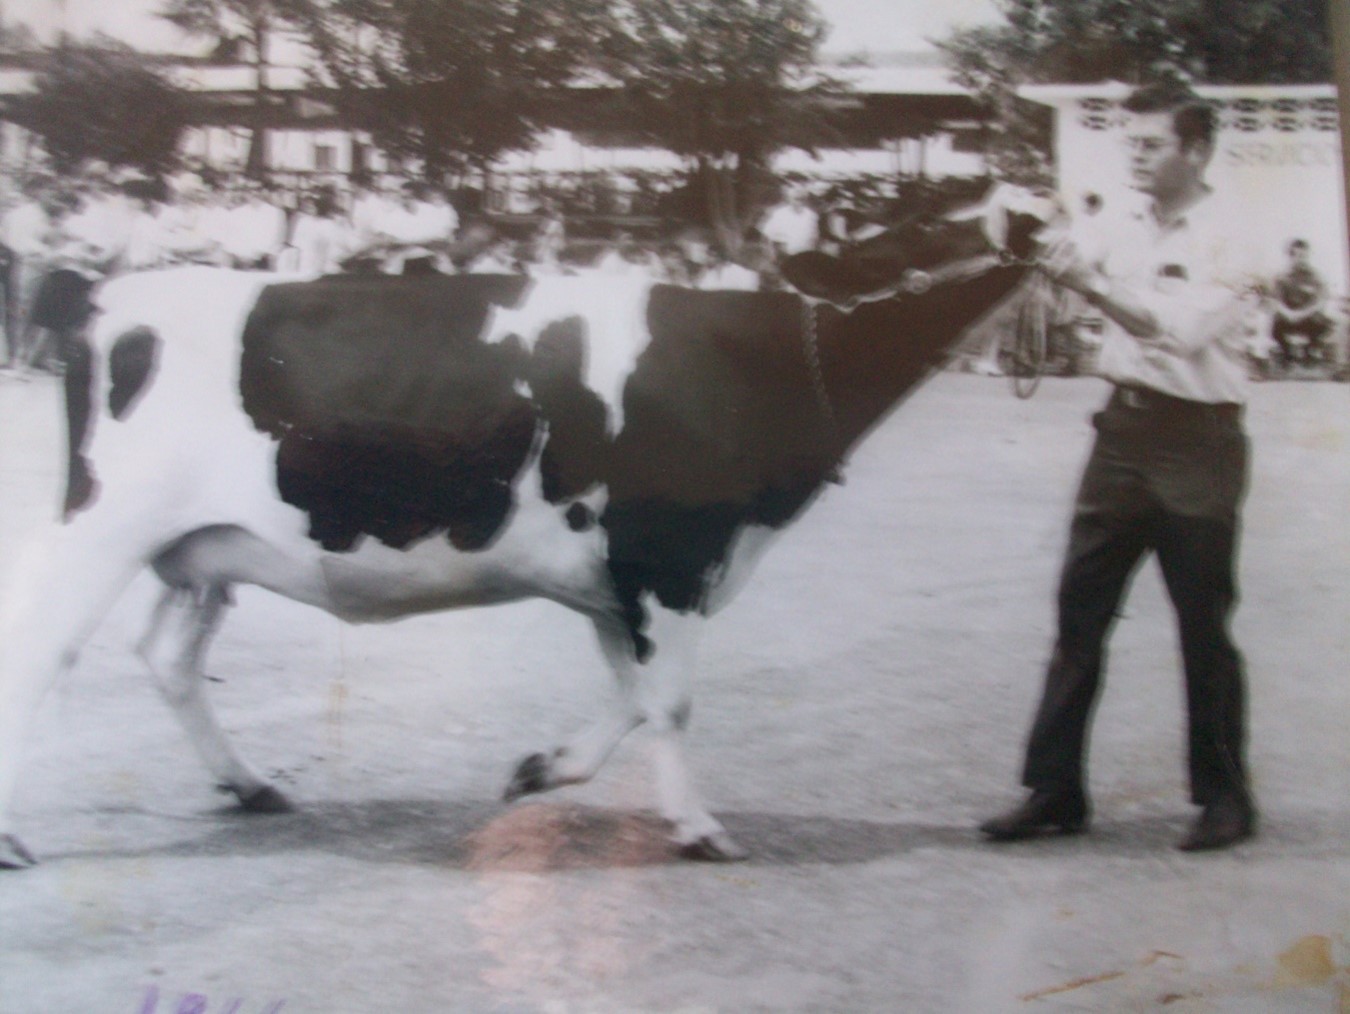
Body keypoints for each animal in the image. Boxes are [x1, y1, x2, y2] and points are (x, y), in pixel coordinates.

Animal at [0, 182, 1047, 864]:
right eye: (910, 222)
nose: (1032, 213)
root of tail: (103, 290)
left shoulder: (617, 576)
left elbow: (633, 698)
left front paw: (541, 770)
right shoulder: (671, 557)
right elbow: (670, 701)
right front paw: (700, 829)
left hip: (203, 549)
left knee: (170, 657)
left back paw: (250, 784)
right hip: (103, 524)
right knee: (42, 647)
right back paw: (18, 836)